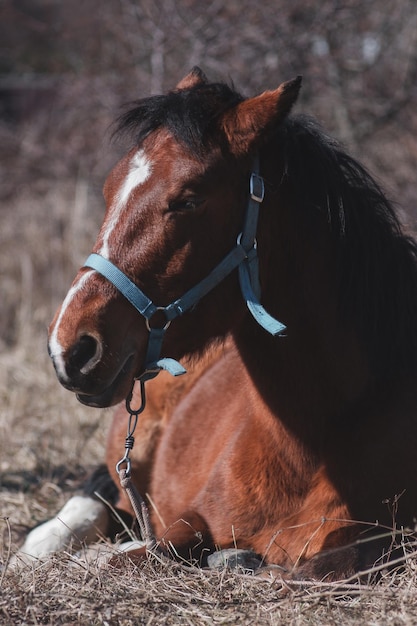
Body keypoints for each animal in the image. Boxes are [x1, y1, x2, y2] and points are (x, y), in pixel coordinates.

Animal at [39, 66, 417, 576]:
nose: (71, 348)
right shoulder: (188, 518)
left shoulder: (382, 538)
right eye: (108, 189)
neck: (308, 442)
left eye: (189, 200)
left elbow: (313, 569)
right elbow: (144, 555)